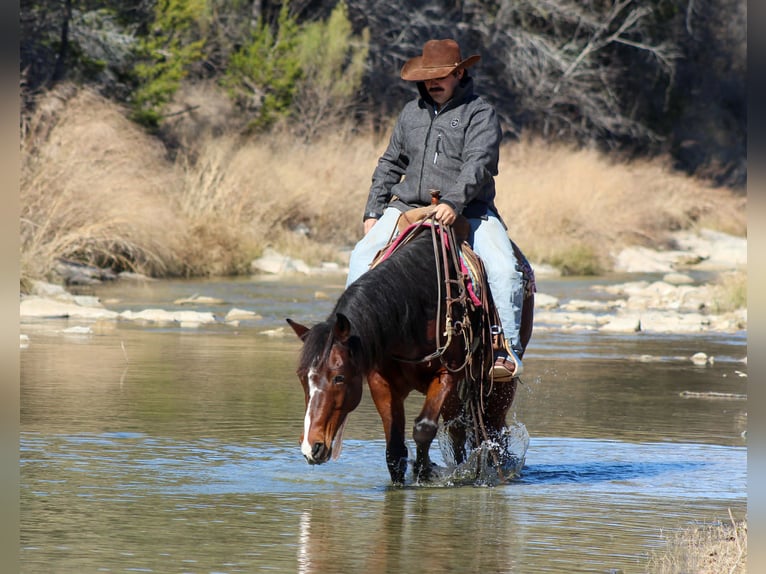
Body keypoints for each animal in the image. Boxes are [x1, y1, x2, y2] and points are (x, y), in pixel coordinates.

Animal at [287, 220, 534, 485]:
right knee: (457, 430)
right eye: (302, 379)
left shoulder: (447, 373)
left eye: (339, 377)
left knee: (493, 426)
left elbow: (423, 428)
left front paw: (424, 472)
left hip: (499, 384)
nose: (311, 447)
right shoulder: (380, 381)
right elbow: (394, 449)